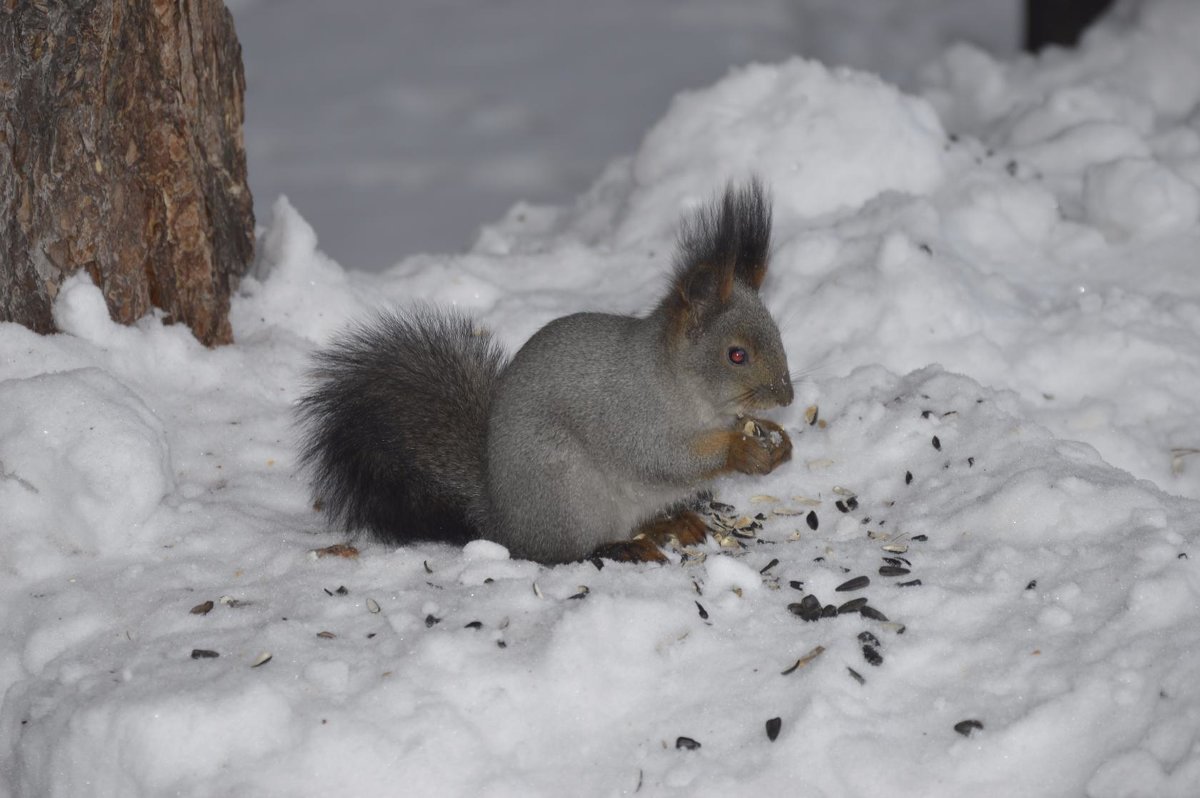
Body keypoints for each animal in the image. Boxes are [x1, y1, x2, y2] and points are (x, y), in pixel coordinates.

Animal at [295, 181, 792, 564]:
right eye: (736, 355)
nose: (786, 398)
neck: (692, 395)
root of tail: (501, 522)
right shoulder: (631, 413)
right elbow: (661, 457)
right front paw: (743, 450)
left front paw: (776, 439)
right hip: (568, 494)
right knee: (561, 554)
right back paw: (621, 547)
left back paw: (671, 522)